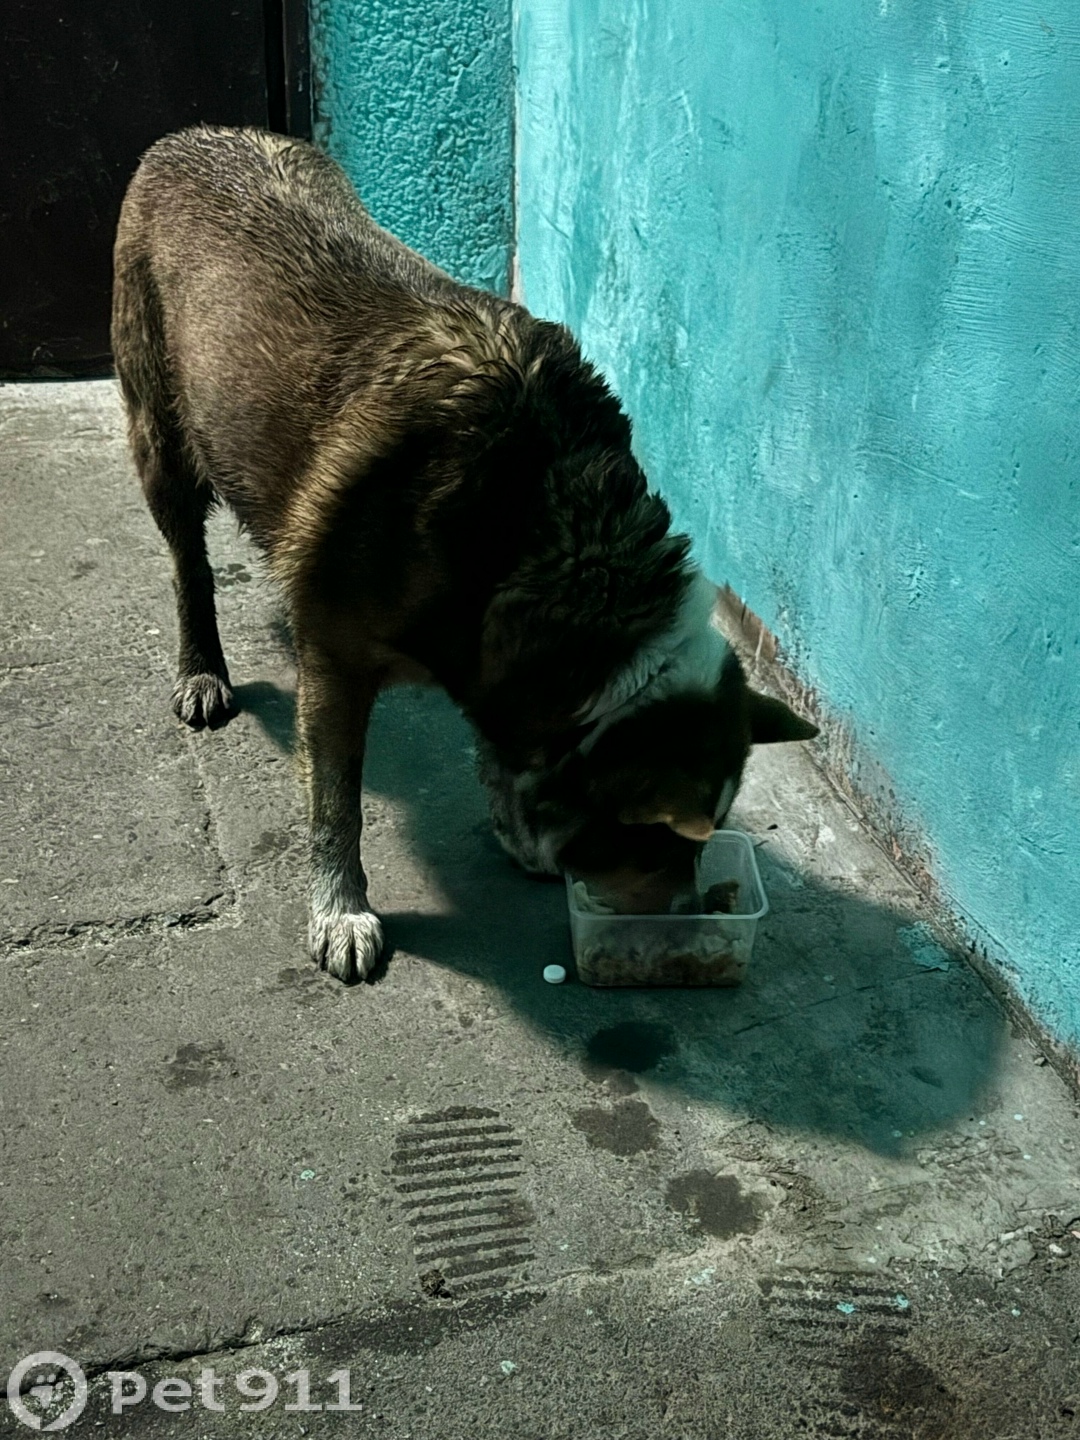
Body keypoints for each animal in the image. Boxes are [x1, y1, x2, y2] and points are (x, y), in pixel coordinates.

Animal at [112, 125, 816, 981]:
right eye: (651, 840)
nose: (682, 919)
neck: (550, 532)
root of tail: (192, 135)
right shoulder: (335, 662)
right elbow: (336, 803)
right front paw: (340, 909)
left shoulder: (495, 653)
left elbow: (500, 749)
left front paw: (520, 831)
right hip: (159, 427)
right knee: (190, 563)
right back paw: (201, 669)